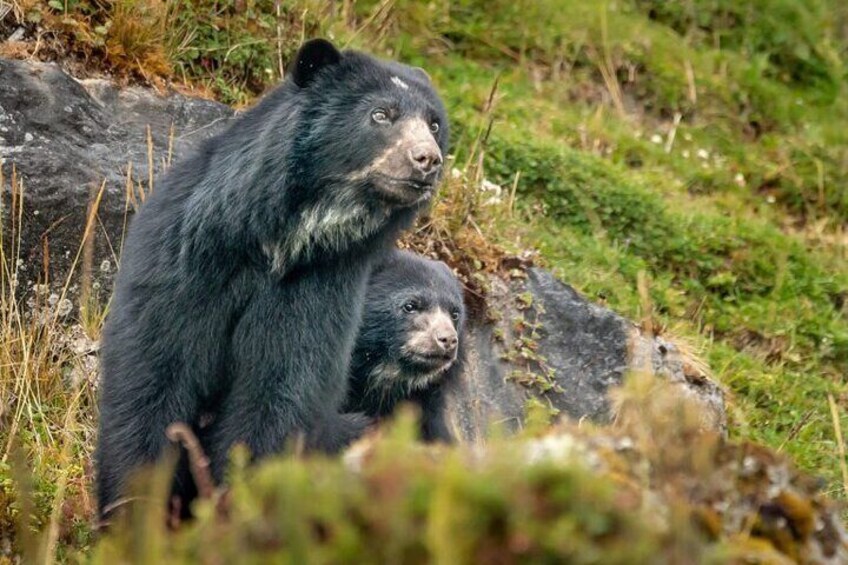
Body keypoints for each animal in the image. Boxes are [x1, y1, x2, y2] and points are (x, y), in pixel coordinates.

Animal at [96, 37, 450, 516]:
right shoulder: (185, 264)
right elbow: (152, 378)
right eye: (381, 114)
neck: (282, 239)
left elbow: (278, 392)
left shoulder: (319, 287)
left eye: (434, 124)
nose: (427, 160)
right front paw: (136, 511)